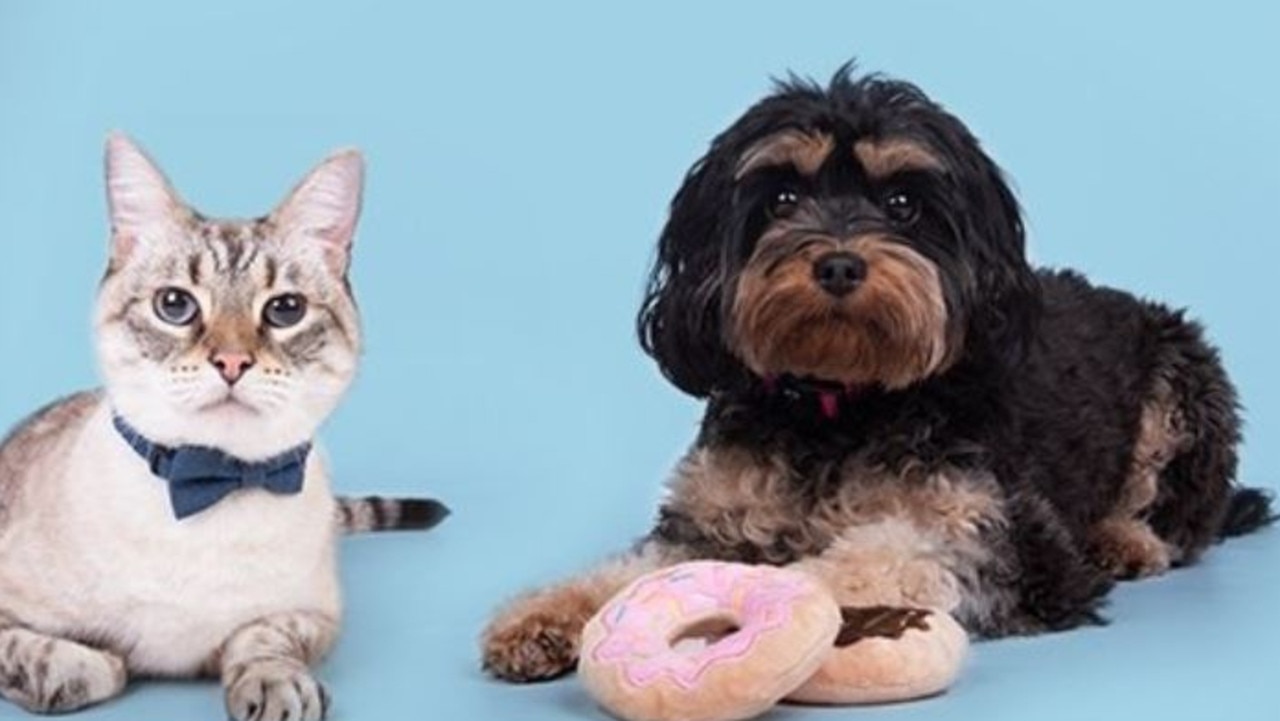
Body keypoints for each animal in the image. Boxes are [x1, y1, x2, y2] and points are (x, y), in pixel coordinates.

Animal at [0, 132, 450, 717]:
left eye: (285, 310)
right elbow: (82, 665)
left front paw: (275, 686)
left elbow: (260, 636)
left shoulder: (317, 616)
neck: (215, 483)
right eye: (174, 305)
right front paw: (90, 665)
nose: (232, 362)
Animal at [478, 63, 1269, 681]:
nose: (837, 263)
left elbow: (877, 557)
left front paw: (780, 597)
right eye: (783, 197)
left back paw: (1125, 538)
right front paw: (547, 612)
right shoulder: (709, 521)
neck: (837, 405)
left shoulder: (1006, 537)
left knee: (1179, 518)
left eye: (902, 202)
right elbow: (628, 568)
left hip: (1185, 375)